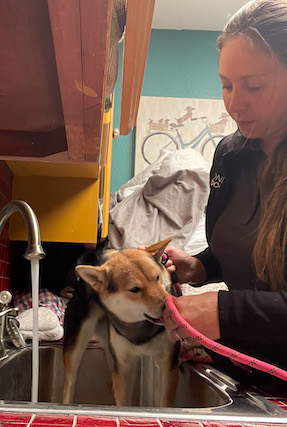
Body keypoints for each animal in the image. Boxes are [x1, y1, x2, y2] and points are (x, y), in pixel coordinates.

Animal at [63, 239, 180, 410]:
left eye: (157, 277)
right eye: (135, 289)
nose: (169, 306)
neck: (140, 329)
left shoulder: (168, 364)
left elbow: (165, 403)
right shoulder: (123, 367)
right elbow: (123, 402)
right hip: (77, 345)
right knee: (69, 385)